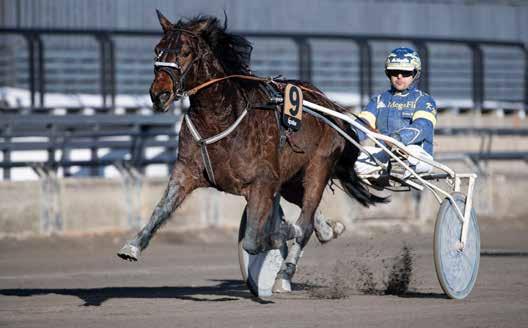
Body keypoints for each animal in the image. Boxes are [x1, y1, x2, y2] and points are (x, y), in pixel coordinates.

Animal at [118, 10, 384, 292]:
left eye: (185, 52)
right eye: (157, 49)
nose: (159, 95)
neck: (220, 117)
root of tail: (330, 106)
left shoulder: (262, 183)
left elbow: (254, 240)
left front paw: (278, 234)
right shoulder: (186, 171)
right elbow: (161, 210)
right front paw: (132, 246)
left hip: (318, 168)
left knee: (305, 222)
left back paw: (283, 276)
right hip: (291, 181)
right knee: (310, 218)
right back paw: (328, 230)